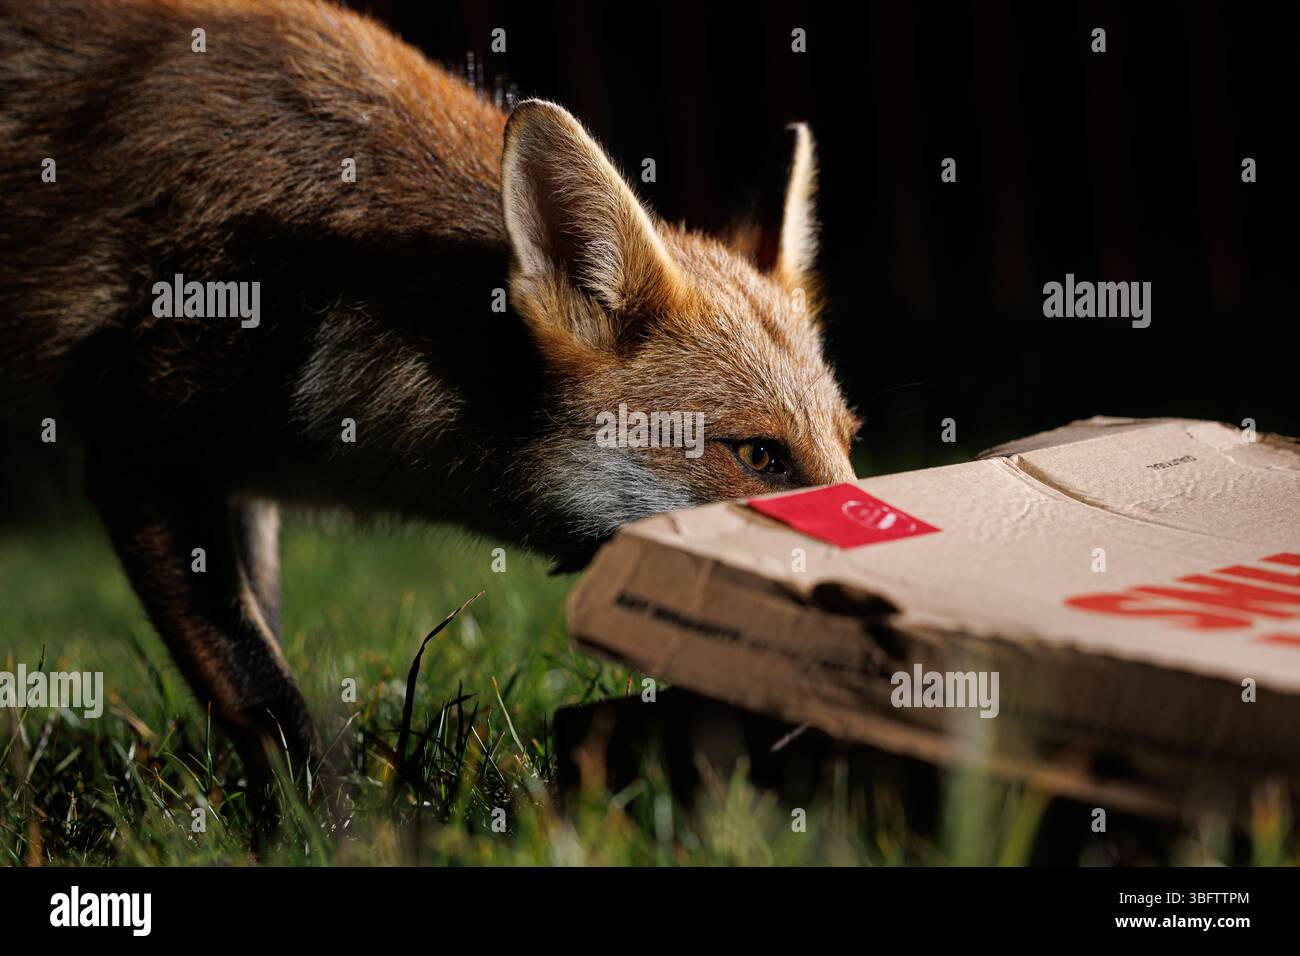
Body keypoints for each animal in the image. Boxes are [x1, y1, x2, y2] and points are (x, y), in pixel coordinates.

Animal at [0, 0, 860, 797]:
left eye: (849, 442)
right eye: (759, 455)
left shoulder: (240, 486)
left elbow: (262, 640)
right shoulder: (141, 456)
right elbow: (259, 687)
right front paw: (322, 828)